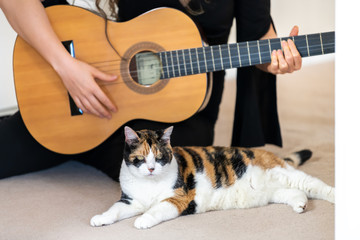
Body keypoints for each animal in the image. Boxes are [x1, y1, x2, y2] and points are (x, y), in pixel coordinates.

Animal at [90, 125, 334, 229]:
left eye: (159, 158)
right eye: (141, 158)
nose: (151, 169)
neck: (148, 184)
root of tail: (266, 153)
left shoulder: (179, 198)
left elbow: (156, 209)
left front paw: (142, 220)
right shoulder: (130, 201)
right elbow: (114, 210)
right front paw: (100, 218)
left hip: (285, 174)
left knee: (316, 186)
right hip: (272, 191)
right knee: (295, 192)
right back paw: (300, 205)